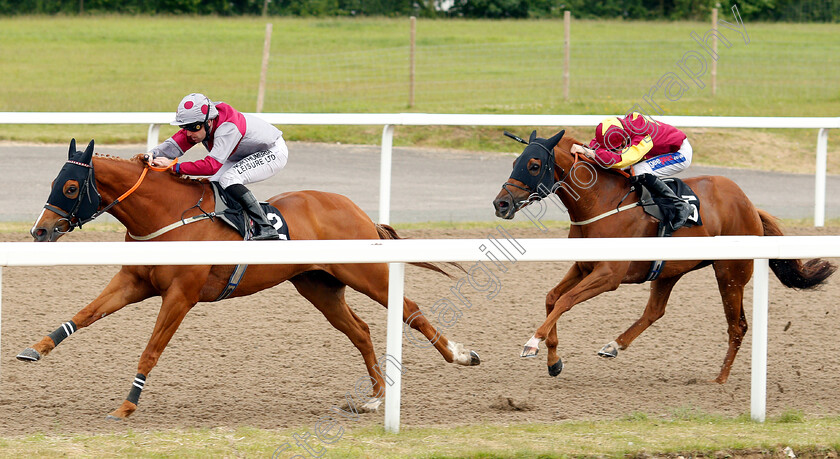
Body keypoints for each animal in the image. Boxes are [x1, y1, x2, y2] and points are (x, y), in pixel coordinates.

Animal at [19, 139, 480, 420]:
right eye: (55, 182)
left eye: (72, 187)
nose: (39, 232)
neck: (167, 216)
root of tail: (355, 208)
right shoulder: (134, 281)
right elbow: (84, 314)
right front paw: (36, 349)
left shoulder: (180, 295)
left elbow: (151, 350)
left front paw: (127, 406)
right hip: (319, 287)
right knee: (361, 331)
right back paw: (374, 398)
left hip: (369, 275)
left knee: (410, 311)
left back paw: (460, 356)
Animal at [492, 130, 832, 384]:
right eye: (515, 161)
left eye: (534, 165)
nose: (501, 204)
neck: (601, 202)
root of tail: (749, 205)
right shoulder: (583, 265)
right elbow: (552, 298)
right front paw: (553, 359)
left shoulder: (608, 275)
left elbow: (564, 301)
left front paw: (532, 343)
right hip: (669, 270)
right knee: (655, 311)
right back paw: (614, 345)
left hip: (730, 273)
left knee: (737, 327)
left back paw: (720, 380)